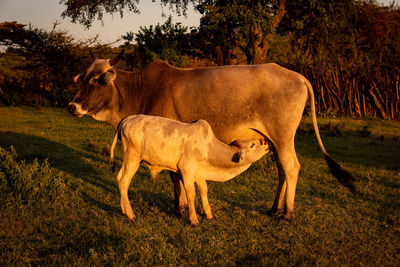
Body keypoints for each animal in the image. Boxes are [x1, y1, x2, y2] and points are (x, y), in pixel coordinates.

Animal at [69, 55, 356, 222]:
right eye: (82, 79)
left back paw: (286, 213)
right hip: (272, 140)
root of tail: (297, 75)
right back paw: (274, 208)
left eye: (97, 80)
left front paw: (180, 208)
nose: (72, 106)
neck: (142, 89)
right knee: (282, 170)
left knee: (292, 167)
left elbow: (176, 178)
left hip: (283, 137)